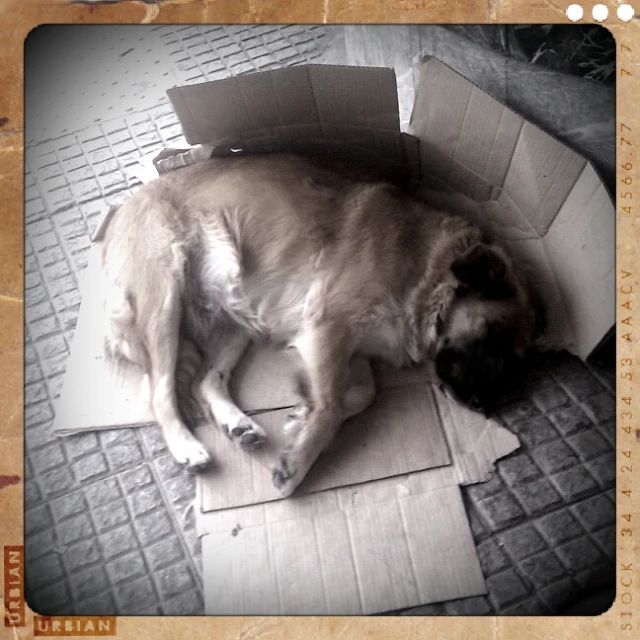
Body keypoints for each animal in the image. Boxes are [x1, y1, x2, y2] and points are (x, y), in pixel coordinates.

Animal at [99, 152, 540, 498]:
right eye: (491, 334)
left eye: (516, 360)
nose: (484, 406)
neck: (428, 272)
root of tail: (121, 209)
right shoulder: (329, 326)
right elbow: (330, 405)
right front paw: (298, 461)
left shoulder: (351, 347)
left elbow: (361, 394)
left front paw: (300, 415)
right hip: (164, 299)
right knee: (160, 394)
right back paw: (187, 447)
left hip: (236, 314)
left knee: (204, 381)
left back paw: (236, 423)